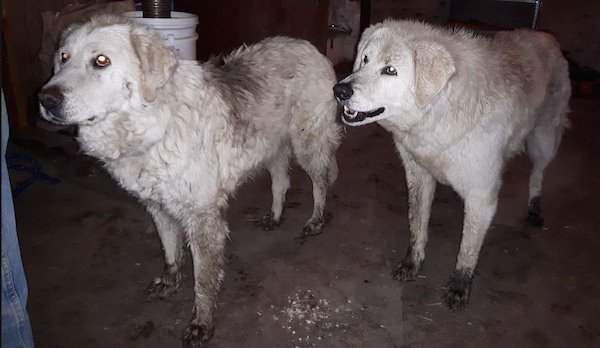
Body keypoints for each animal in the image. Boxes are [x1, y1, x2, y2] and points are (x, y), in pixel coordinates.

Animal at [39, 14, 342, 346]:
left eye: (101, 60)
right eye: (63, 57)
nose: (45, 99)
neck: (153, 124)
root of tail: (308, 46)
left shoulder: (203, 219)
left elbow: (203, 282)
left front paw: (201, 323)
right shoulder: (158, 207)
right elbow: (171, 251)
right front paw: (169, 282)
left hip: (307, 145)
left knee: (320, 182)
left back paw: (316, 221)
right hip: (271, 148)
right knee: (281, 182)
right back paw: (274, 217)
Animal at [336, 20, 568, 310]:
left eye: (390, 70)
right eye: (365, 59)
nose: (339, 91)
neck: (441, 112)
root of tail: (547, 37)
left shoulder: (482, 194)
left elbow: (468, 249)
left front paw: (459, 287)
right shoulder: (419, 175)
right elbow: (417, 226)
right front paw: (412, 263)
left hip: (543, 141)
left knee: (537, 174)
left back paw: (534, 208)